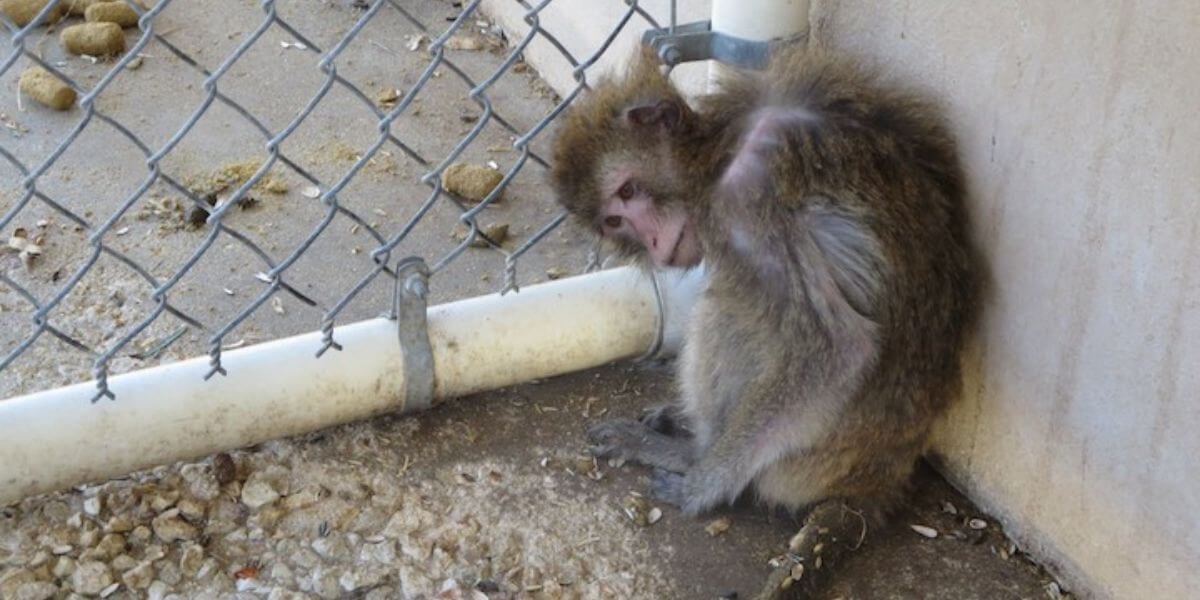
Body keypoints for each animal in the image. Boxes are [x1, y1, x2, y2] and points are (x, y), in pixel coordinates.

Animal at [550, 44, 978, 597]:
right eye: (615, 219)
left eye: (628, 190)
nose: (653, 242)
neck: (717, 151)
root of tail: (876, 479)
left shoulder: (749, 199)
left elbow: (839, 347)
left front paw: (699, 485)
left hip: (808, 459)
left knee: (729, 304)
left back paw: (691, 453)